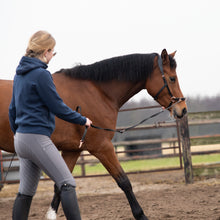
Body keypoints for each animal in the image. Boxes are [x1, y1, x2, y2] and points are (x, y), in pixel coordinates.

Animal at [0, 49, 187, 219]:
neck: (97, 92)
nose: (183, 110)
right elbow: (124, 181)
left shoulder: (72, 150)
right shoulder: (102, 148)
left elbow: (60, 186)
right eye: (172, 78)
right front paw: (141, 215)